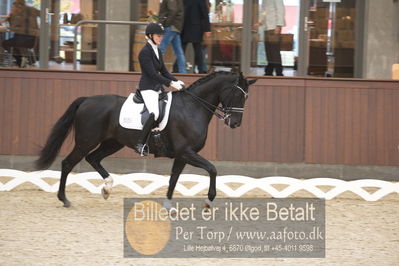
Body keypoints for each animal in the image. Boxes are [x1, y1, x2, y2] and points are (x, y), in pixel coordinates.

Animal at [36, 71, 258, 207]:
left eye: (246, 97)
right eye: (238, 95)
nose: (235, 123)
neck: (192, 107)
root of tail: (87, 100)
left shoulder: (182, 155)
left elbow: (173, 178)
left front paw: (168, 206)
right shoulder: (187, 152)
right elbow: (212, 169)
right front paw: (209, 200)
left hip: (113, 143)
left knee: (94, 158)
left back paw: (107, 188)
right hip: (86, 141)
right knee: (68, 163)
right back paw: (64, 199)